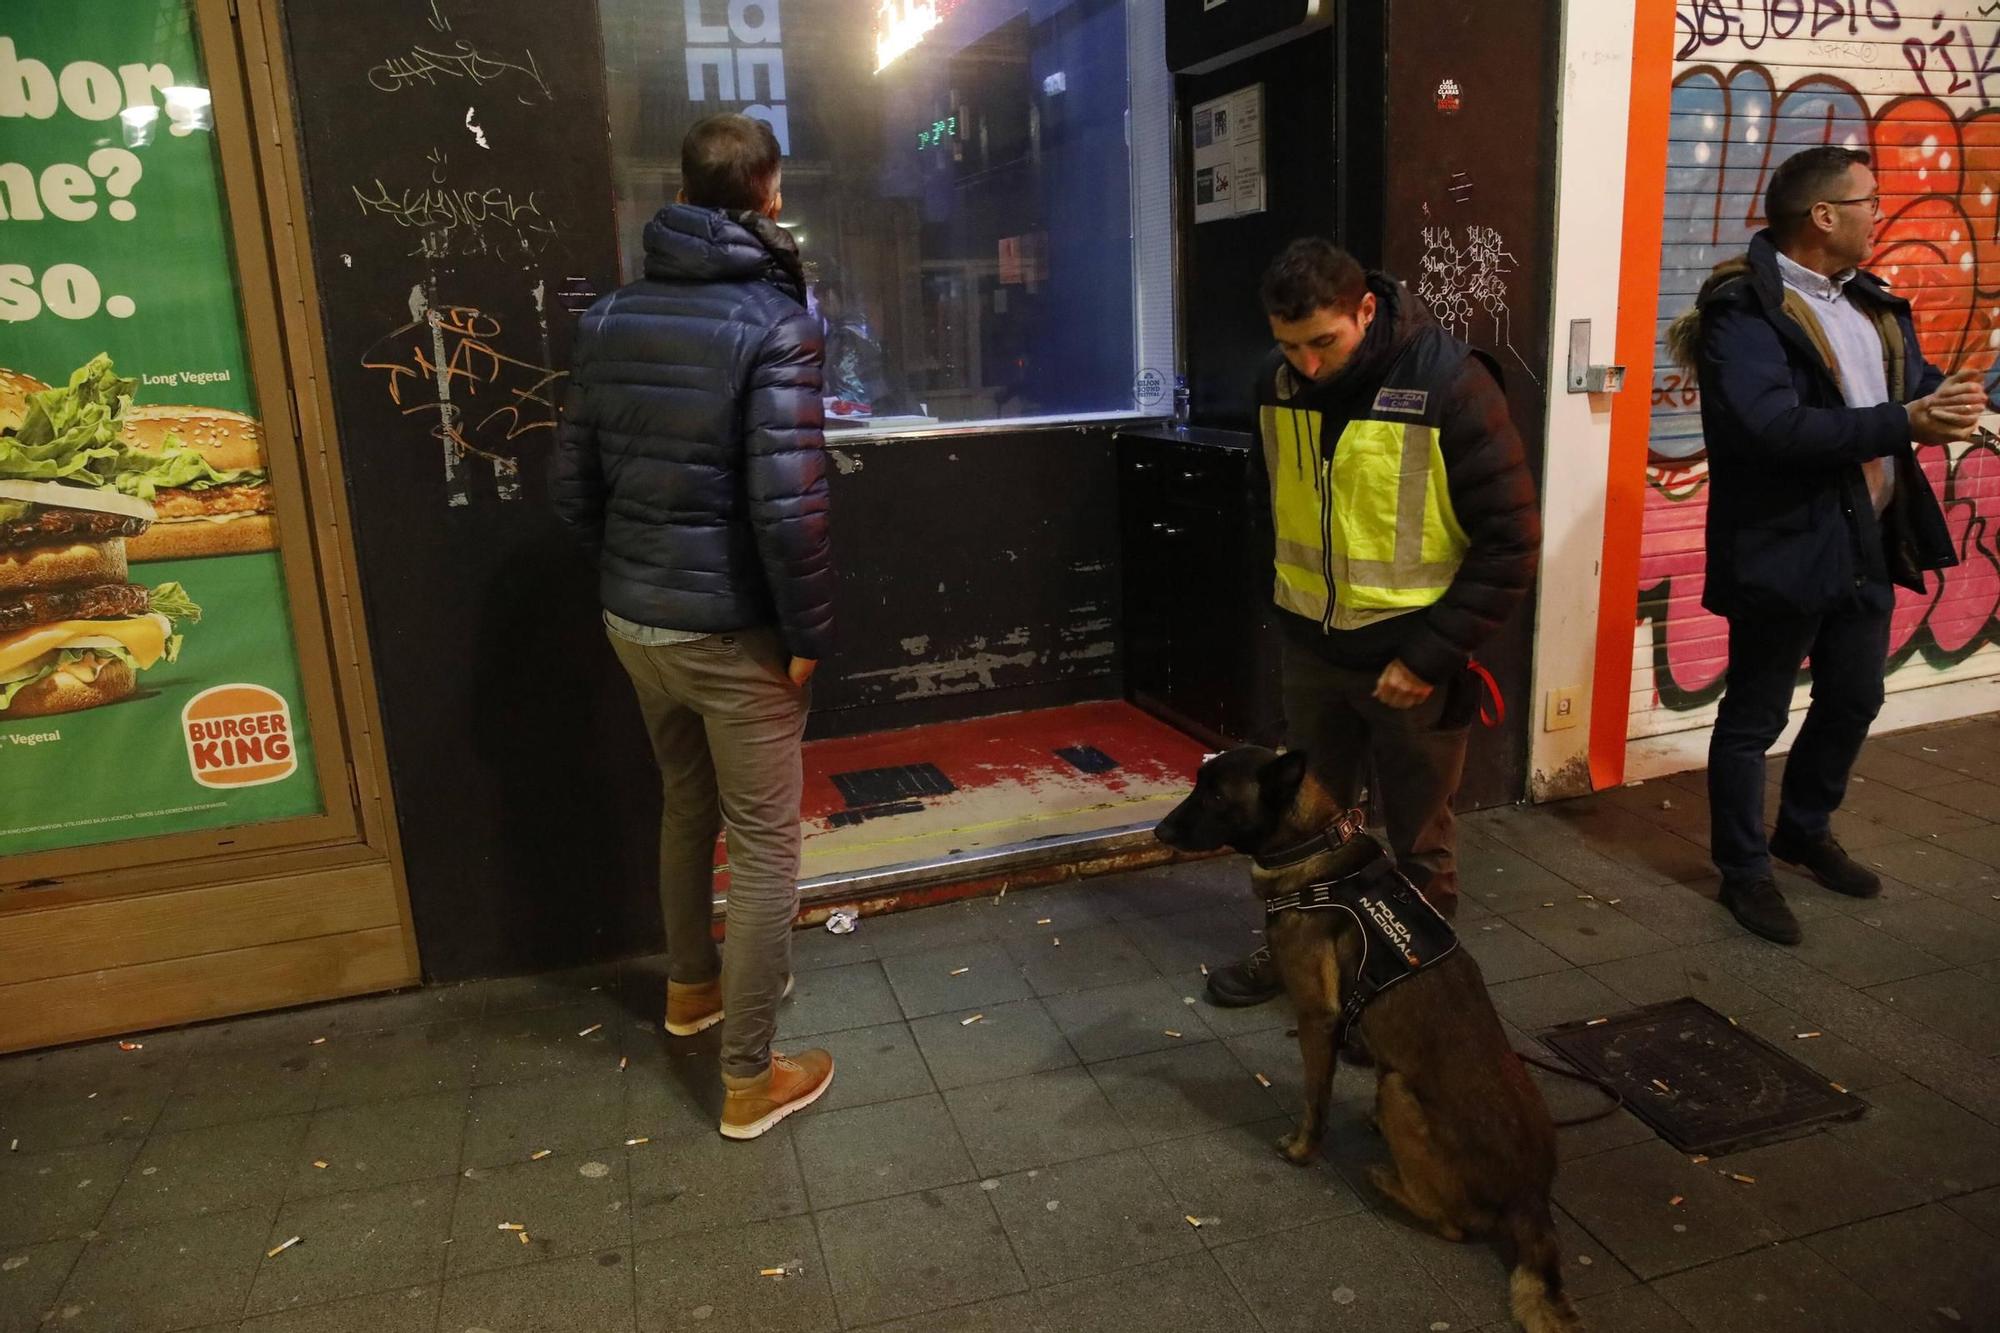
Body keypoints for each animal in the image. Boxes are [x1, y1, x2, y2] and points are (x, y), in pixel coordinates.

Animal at [1160, 740, 1576, 1328]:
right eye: (1199, 785)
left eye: (1216, 796)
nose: (1159, 832)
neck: (1314, 844)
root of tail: (1532, 1197)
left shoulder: (1317, 1018)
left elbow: (1315, 1098)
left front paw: (1303, 1149)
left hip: (1401, 1090)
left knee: (1453, 1224)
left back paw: (1386, 1179)